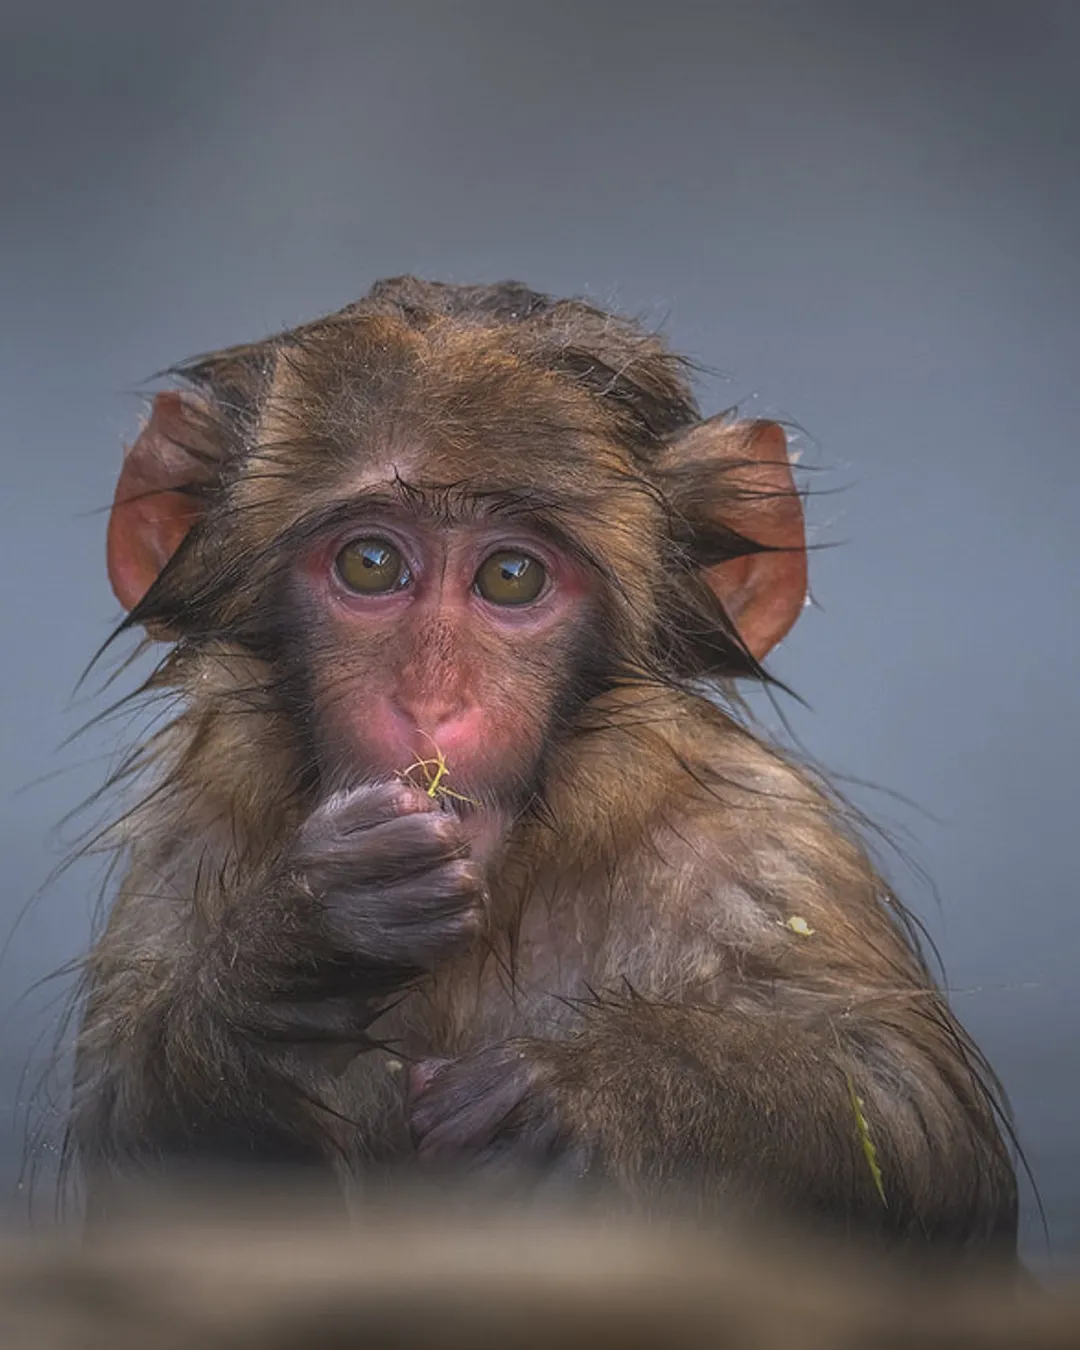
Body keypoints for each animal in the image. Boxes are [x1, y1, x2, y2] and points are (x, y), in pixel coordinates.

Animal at [68, 276, 1017, 1255]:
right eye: (370, 563)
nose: (432, 702)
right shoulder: (190, 844)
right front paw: (302, 945)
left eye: (512, 576)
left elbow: (911, 1114)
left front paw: (582, 1102)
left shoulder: (765, 850)